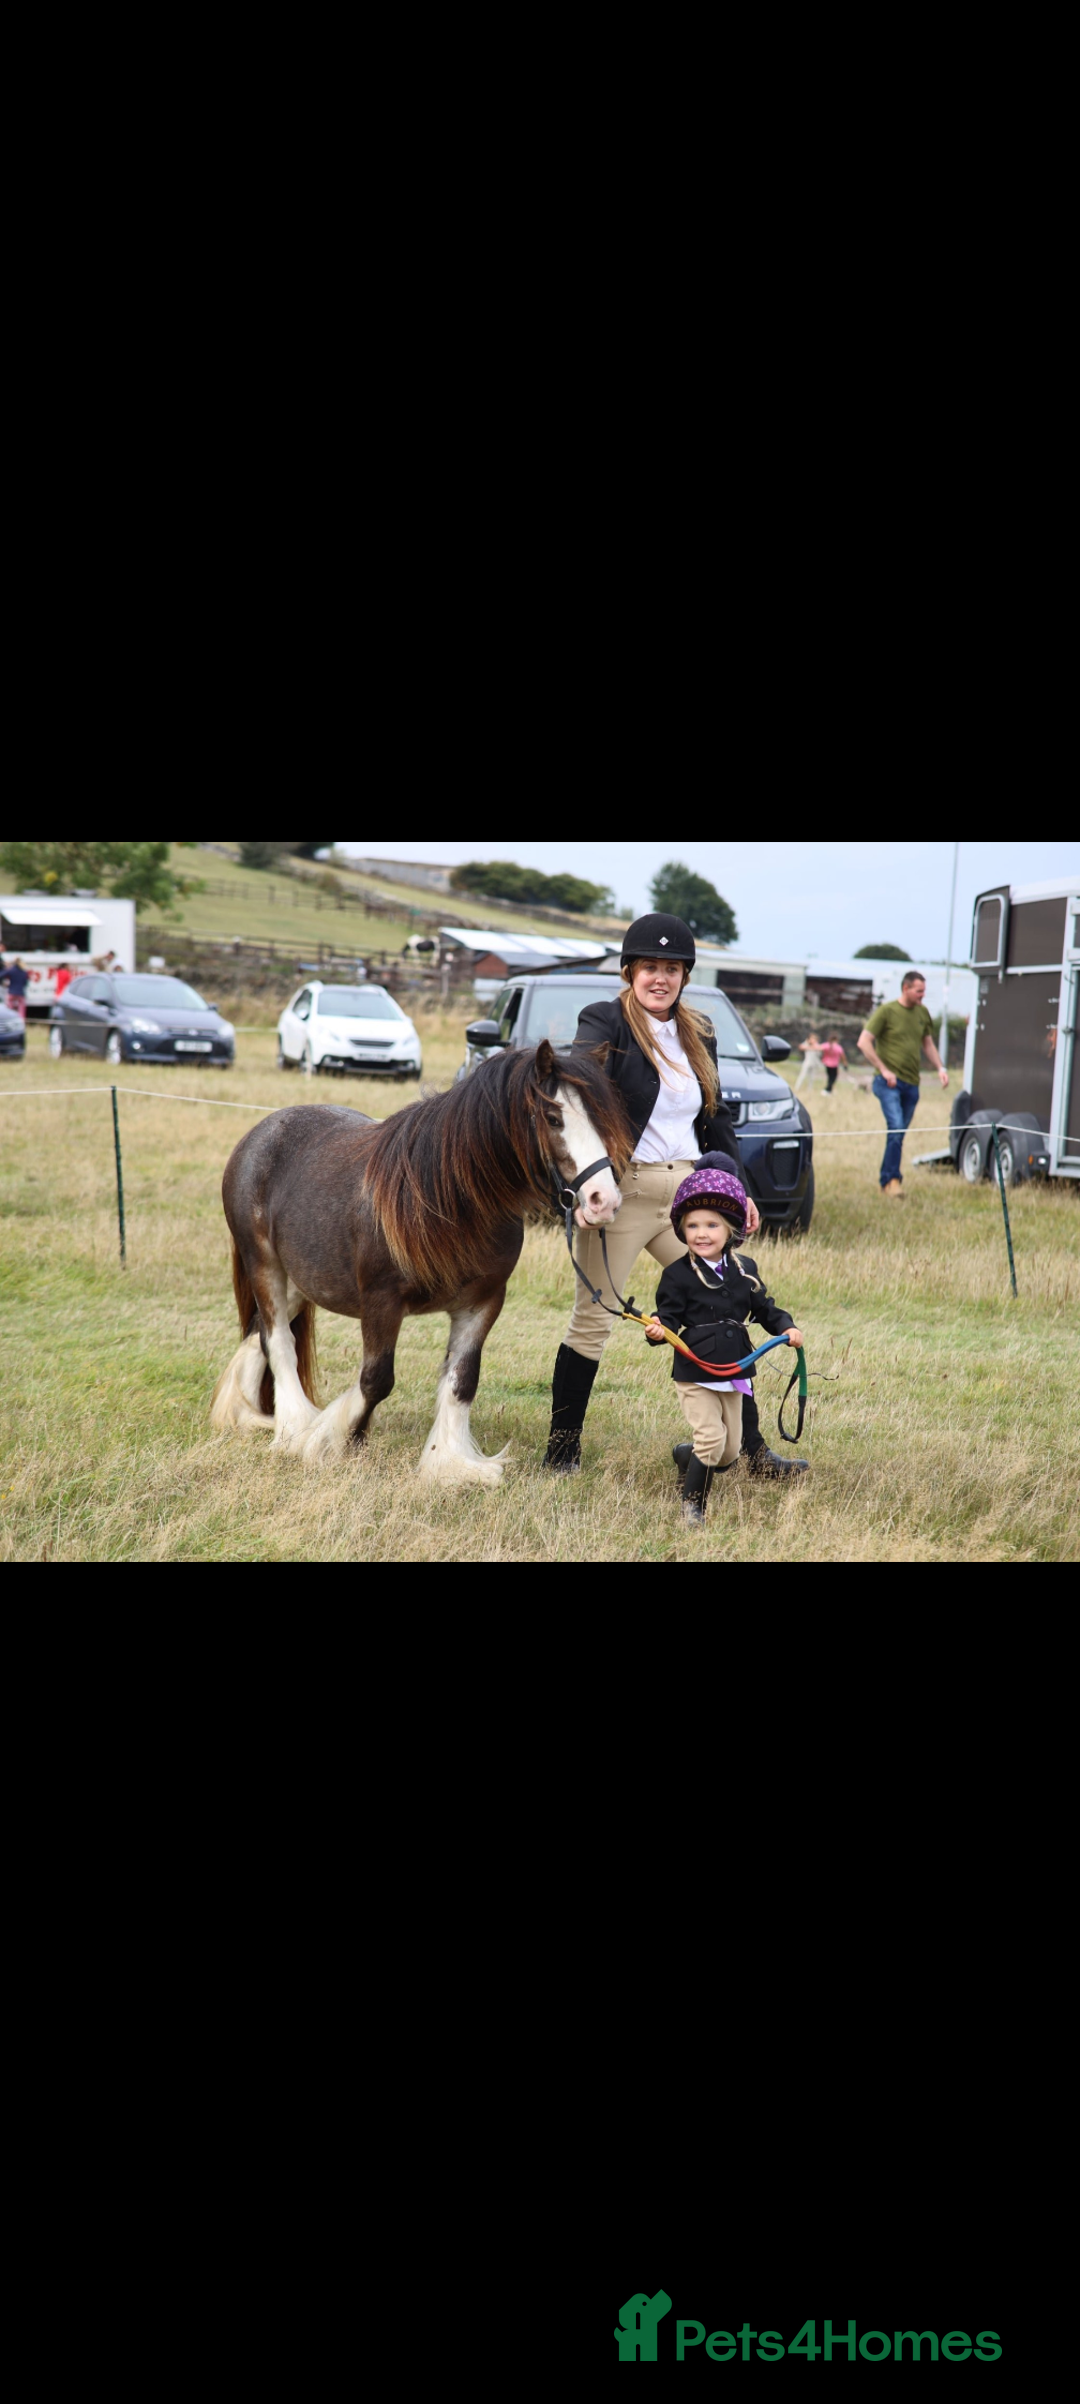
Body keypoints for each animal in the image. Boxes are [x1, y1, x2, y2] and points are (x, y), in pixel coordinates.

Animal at [209, 1039, 630, 1482]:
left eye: (603, 1118)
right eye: (552, 1117)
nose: (604, 1200)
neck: (446, 1201)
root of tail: (261, 1132)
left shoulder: (483, 1303)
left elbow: (462, 1380)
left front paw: (450, 1462)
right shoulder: (381, 1302)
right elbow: (376, 1380)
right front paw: (336, 1441)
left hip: (302, 1280)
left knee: (258, 1332)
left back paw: (247, 1414)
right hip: (265, 1266)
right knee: (278, 1341)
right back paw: (293, 1428)